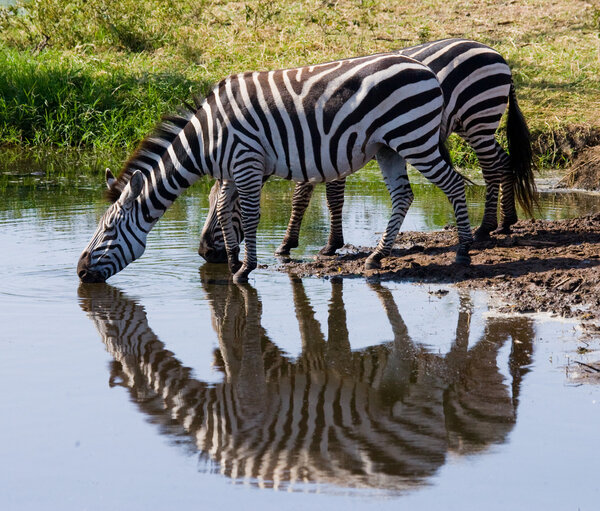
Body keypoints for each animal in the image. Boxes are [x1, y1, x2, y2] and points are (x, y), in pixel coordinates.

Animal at [78, 52, 474, 284]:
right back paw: (376, 257)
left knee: (454, 185)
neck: (206, 139)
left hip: (414, 138)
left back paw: (464, 251)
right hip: (388, 147)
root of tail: (424, 68)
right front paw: (233, 260)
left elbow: (250, 215)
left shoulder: (246, 162)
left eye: (108, 230)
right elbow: (223, 213)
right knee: (404, 195)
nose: (80, 272)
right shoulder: (230, 171)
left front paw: (245, 269)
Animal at [196, 39, 536, 264]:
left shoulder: (324, 146)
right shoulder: (321, 150)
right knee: (503, 161)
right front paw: (308, 242)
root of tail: (496, 53)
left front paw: (307, 244)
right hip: (477, 124)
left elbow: (317, 196)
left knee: (492, 166)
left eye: (234, 205)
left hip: (478, 119)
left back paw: (485, 228)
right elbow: (314, 194)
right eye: (209, 201)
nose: (205, 252)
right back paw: (506, 221)